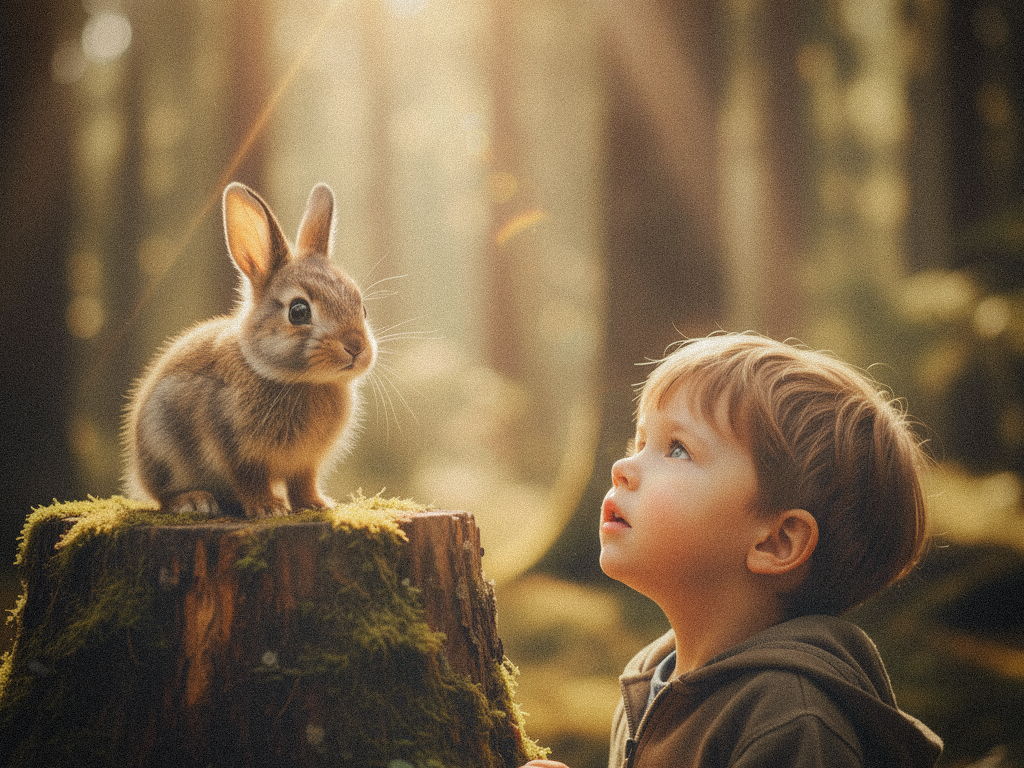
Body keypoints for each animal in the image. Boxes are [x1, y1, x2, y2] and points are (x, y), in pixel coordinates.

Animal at [123, 182, 376, 518]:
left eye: (362, 308)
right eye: (298, 311)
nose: (356, 348)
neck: (299, 381)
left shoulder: (305, 462)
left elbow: (302, 482)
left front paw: (315, 504)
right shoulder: (235, 451)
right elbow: (250, 481)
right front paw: (268, 509)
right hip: (161, 448)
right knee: (162, 495)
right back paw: (194, 501)